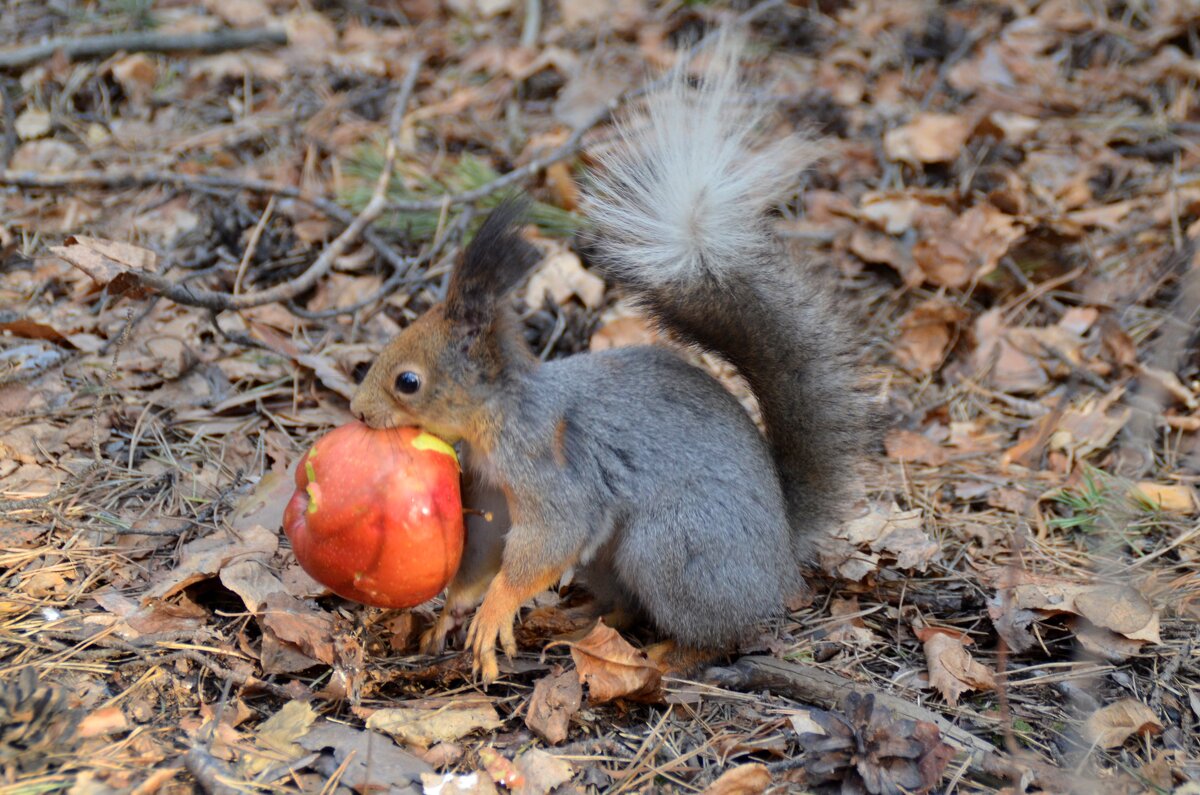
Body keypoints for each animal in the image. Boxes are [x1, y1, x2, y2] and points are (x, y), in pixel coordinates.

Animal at [350, 35, 868, 686]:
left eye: (408, 381)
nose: (358, 413)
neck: (497, 417)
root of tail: (779, 565)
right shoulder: (490, 494)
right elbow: (483, 551)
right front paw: (453, 611)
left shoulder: (552, 475)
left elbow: (547, 542)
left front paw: (494, 612)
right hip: (616, 559)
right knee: (625, 607)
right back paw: (573, 622)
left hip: (670, 547)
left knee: (722, 634)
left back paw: (667, 656)